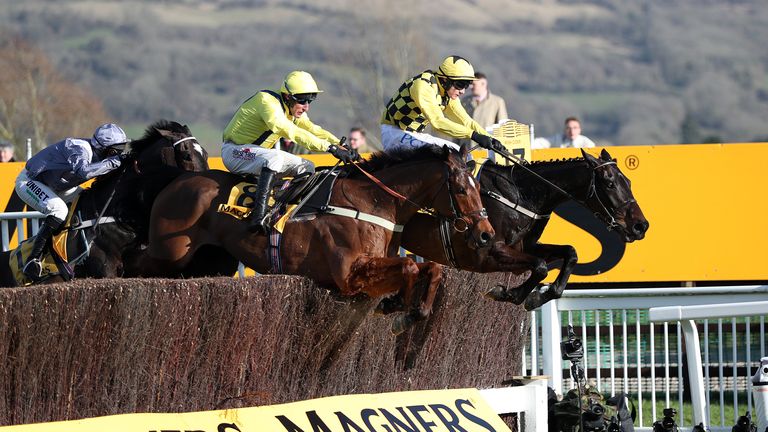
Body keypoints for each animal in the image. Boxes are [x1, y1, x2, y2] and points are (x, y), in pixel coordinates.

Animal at [129, 144, 496, 330]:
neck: (374, 201)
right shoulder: (347, 275)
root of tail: (178, 178)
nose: (486, 234)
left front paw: (416, 309)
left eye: (479, 188)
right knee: (134, 262)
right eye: (461, 189)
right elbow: (409, 267)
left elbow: (432, 268)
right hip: (169, 250)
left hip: (209, 257)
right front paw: (398, 305)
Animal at [402, 148, 648, 310]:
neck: (520, 195)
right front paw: (509, 293)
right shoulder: (487, 252)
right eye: (610, 183)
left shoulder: (526, 246)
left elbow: (570, 253)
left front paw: (536, 297)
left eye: (628, 181)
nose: (640, 225)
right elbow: (540, 267)